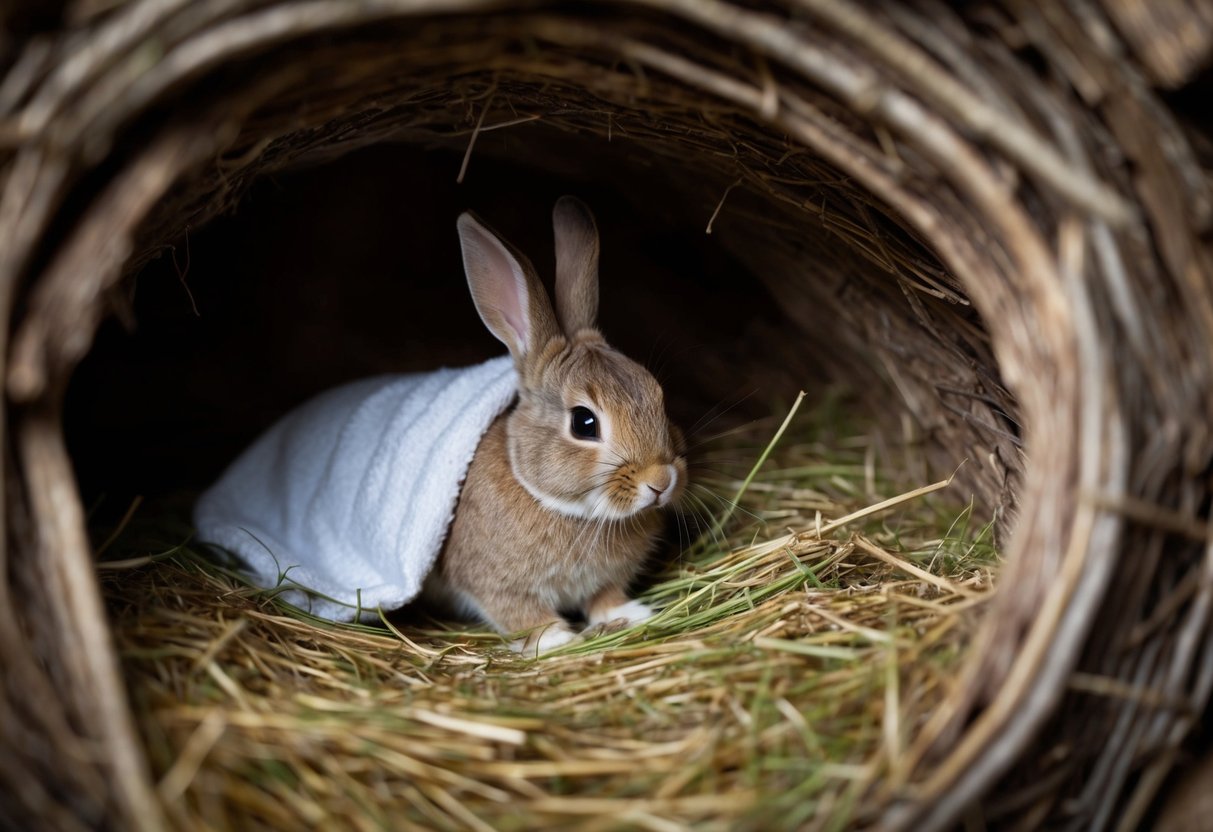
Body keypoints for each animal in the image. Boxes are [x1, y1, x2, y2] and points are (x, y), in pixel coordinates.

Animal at [421, 196, 687, 654]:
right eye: (584, 423)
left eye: (658, 396)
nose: (661, 481)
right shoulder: (495, 587)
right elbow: (523, 616)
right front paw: (557, 639)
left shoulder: (604, 580)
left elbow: (604, 598)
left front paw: (630, 614)